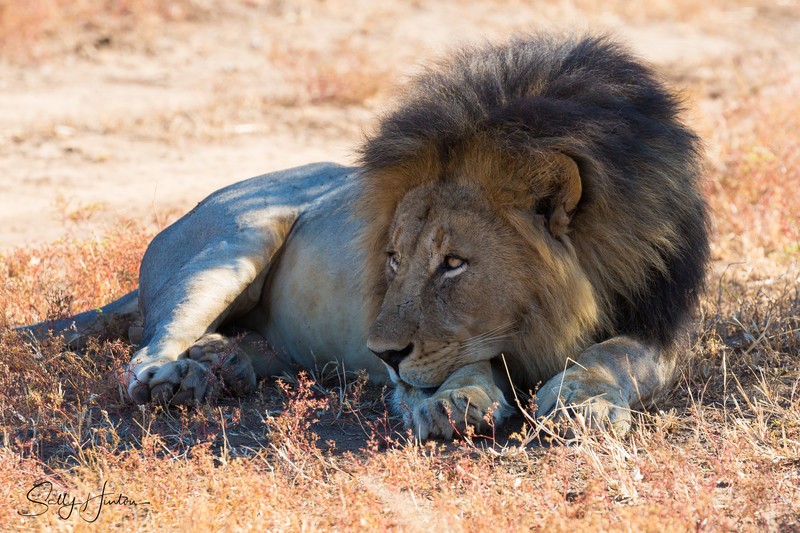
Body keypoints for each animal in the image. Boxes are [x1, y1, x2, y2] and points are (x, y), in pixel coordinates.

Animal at [21, 34, 709, 440]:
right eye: (394, 259)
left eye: (454, 263)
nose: (382, 353)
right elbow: (461, 361)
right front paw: (454, 400)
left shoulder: (661, 321)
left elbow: (617, 355)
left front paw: (582, 402)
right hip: (236, 238)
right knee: (145, 347)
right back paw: (175, 377)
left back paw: (223, 365)